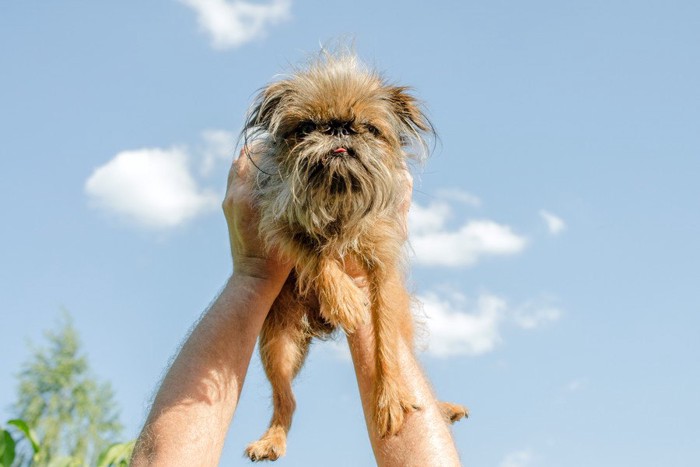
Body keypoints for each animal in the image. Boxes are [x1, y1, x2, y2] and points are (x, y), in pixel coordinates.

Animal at [243, 50, 468, 460]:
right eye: (306, 127)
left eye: (367, 128)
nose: (339, 128)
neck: (338, 197)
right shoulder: (279, 224)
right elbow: (316, 250)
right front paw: (345, 298)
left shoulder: (382, 269)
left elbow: (385, 344)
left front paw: (390, 398)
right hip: (277, 341)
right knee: (287, 399)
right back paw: (272, 438)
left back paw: (441, 408)